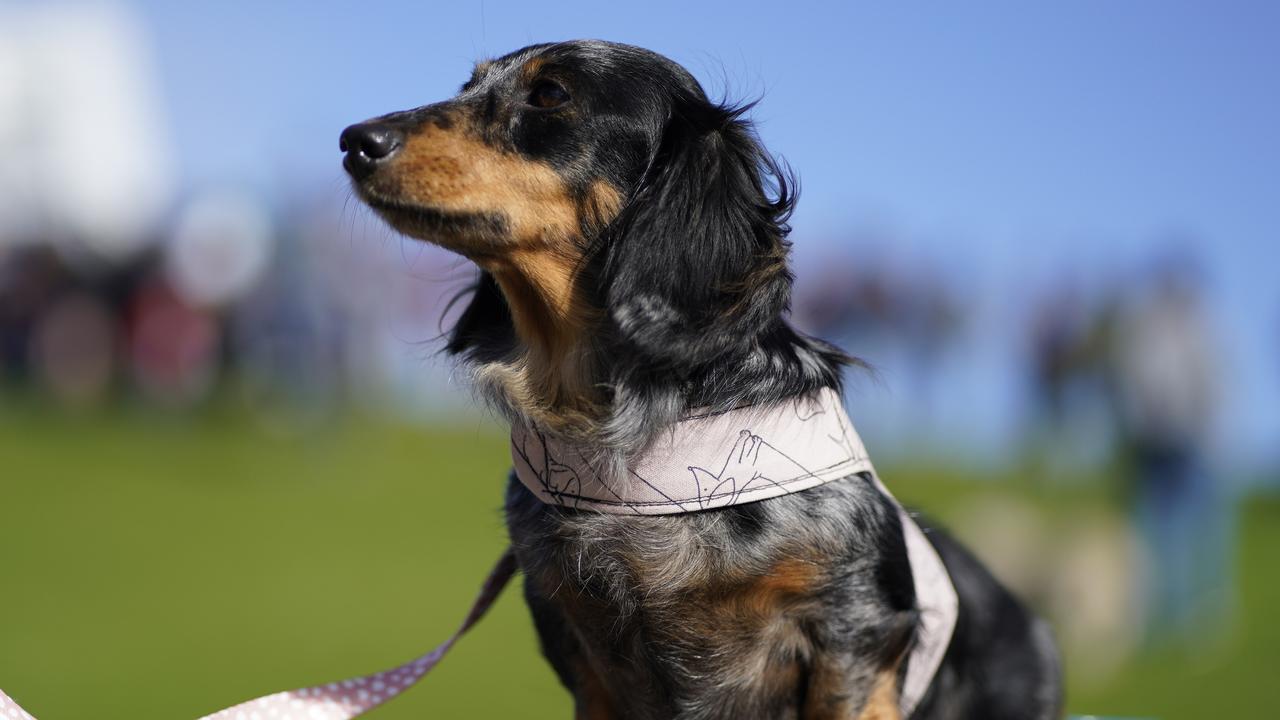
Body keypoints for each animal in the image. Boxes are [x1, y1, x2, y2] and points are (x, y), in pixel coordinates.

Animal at [340, 40, 1059, 717]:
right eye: (468, 85)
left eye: (550, 94)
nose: (354, 141)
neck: (637, 451)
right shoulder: (579, 649)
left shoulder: (853, 639)